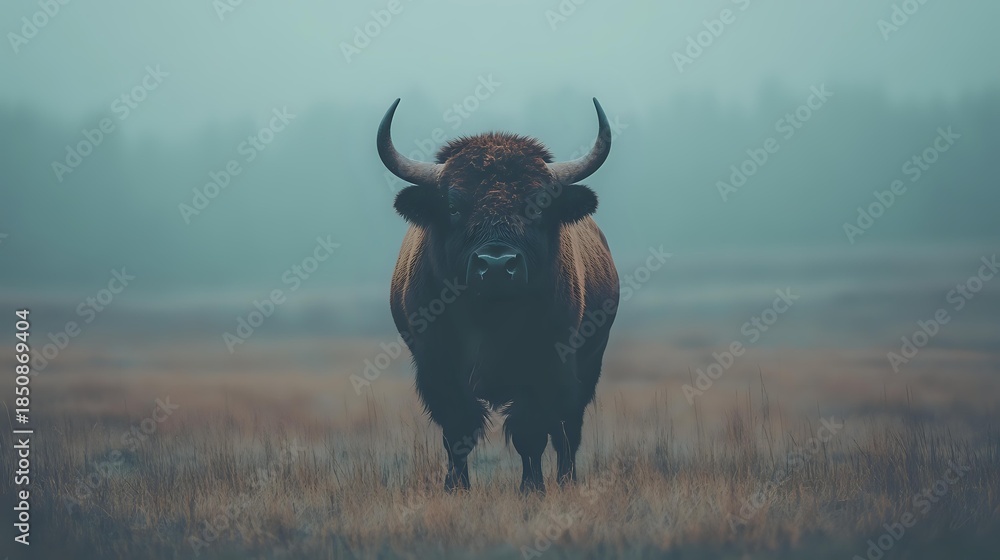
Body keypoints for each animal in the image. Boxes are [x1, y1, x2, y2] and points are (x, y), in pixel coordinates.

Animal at [377, 98, 619, 493]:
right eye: (454, 206)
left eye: (538, 204)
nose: (495, 265)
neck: (490, 317)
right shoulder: (437, 367)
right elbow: (458, 430)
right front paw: (456, 487)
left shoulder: (548, 366)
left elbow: (530, 433)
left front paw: (532, 488)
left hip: (588, 365)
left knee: (567, 431)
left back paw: (566, 480)